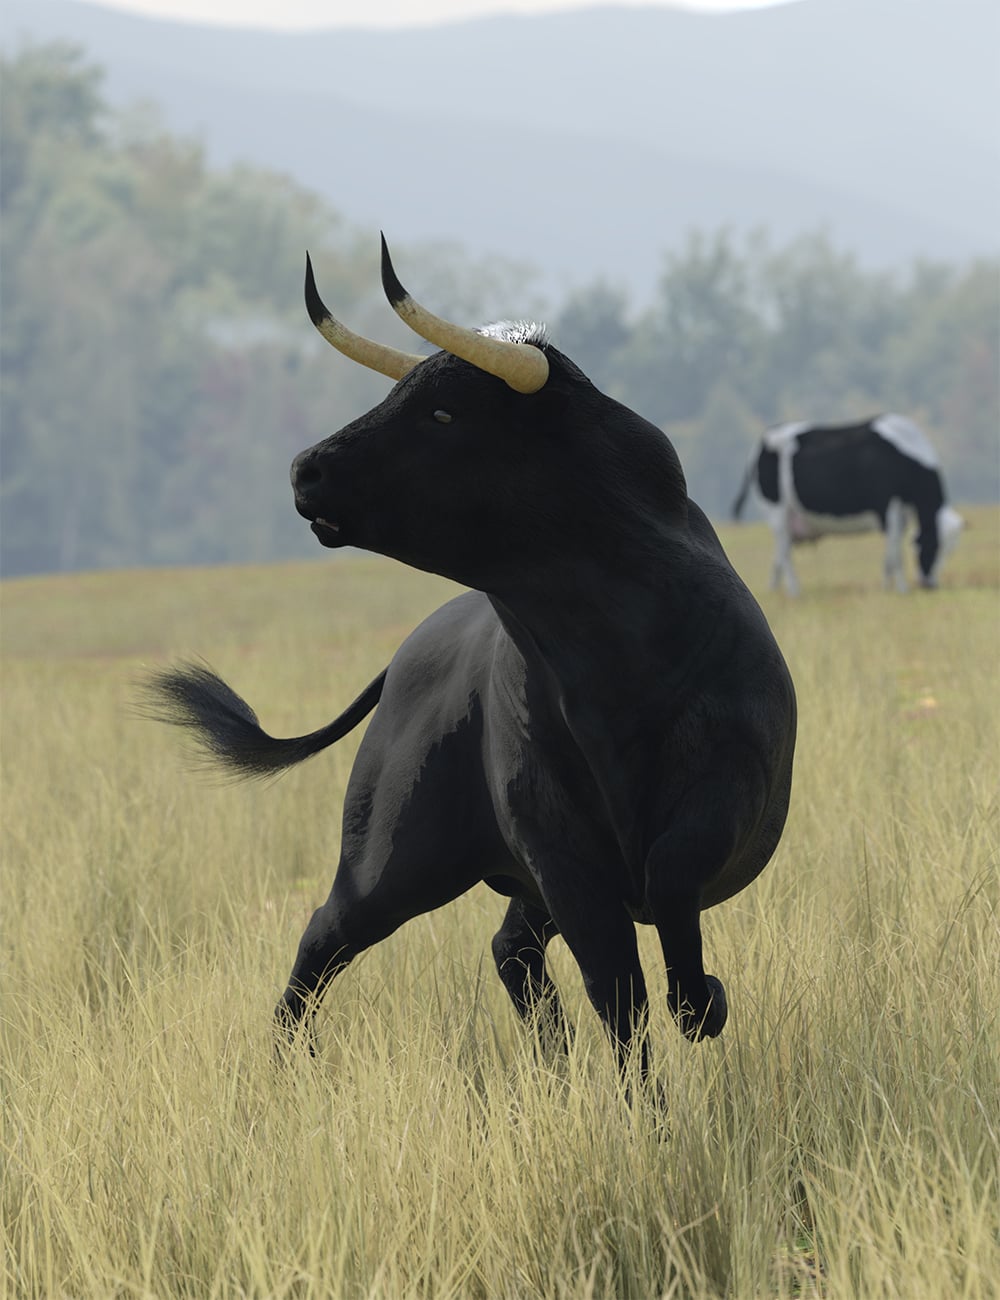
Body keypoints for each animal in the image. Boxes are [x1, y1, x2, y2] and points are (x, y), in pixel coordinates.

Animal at [144, 236, 796, 1095]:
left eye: (444, 413)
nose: (303, 471)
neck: (611, 666)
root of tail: (407, 653)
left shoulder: (729, 792)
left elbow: (668, 883)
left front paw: (704, 1004)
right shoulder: (562, 856)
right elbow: (618, 993)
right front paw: (656, 1089)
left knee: (509, 948)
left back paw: (551, 1065)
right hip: (391, 860)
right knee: (328, 935)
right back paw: (287, 1067)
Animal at [732, 415, 964, 596]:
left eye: (950, 551)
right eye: (933, 545)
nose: (930, 585)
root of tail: (762, 440)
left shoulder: (901, 513)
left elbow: (890, 554)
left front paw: (887, 587)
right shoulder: (889, 507)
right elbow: (896, 554)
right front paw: (901, 589)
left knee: (779, 556)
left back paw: (775, 591)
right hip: (777, 511)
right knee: (784, 554)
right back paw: (795, 592)